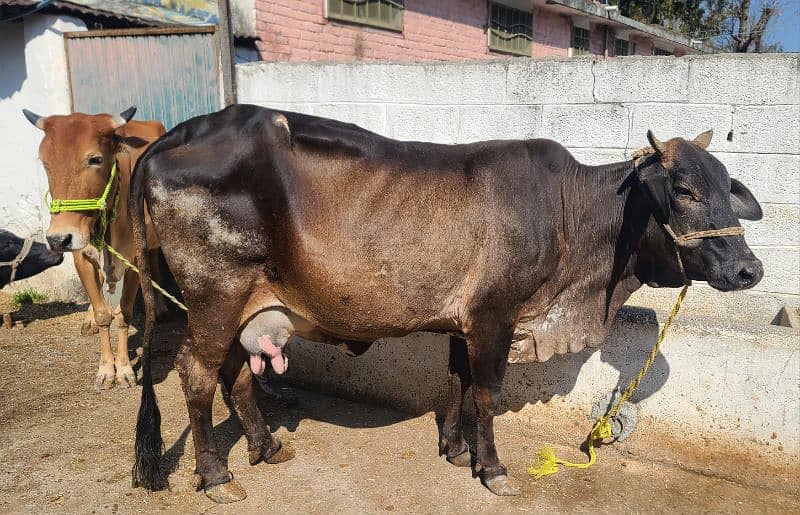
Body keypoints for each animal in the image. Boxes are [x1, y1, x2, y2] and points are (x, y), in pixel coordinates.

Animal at [24, 109, 166, 392]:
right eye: (45, 163)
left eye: (95, 159)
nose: (58, 238)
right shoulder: (81, 255)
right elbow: (103, 314)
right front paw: (106, 369)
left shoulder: (134, 259)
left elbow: (123, 313)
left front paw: (124, 370)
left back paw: (161, 305)